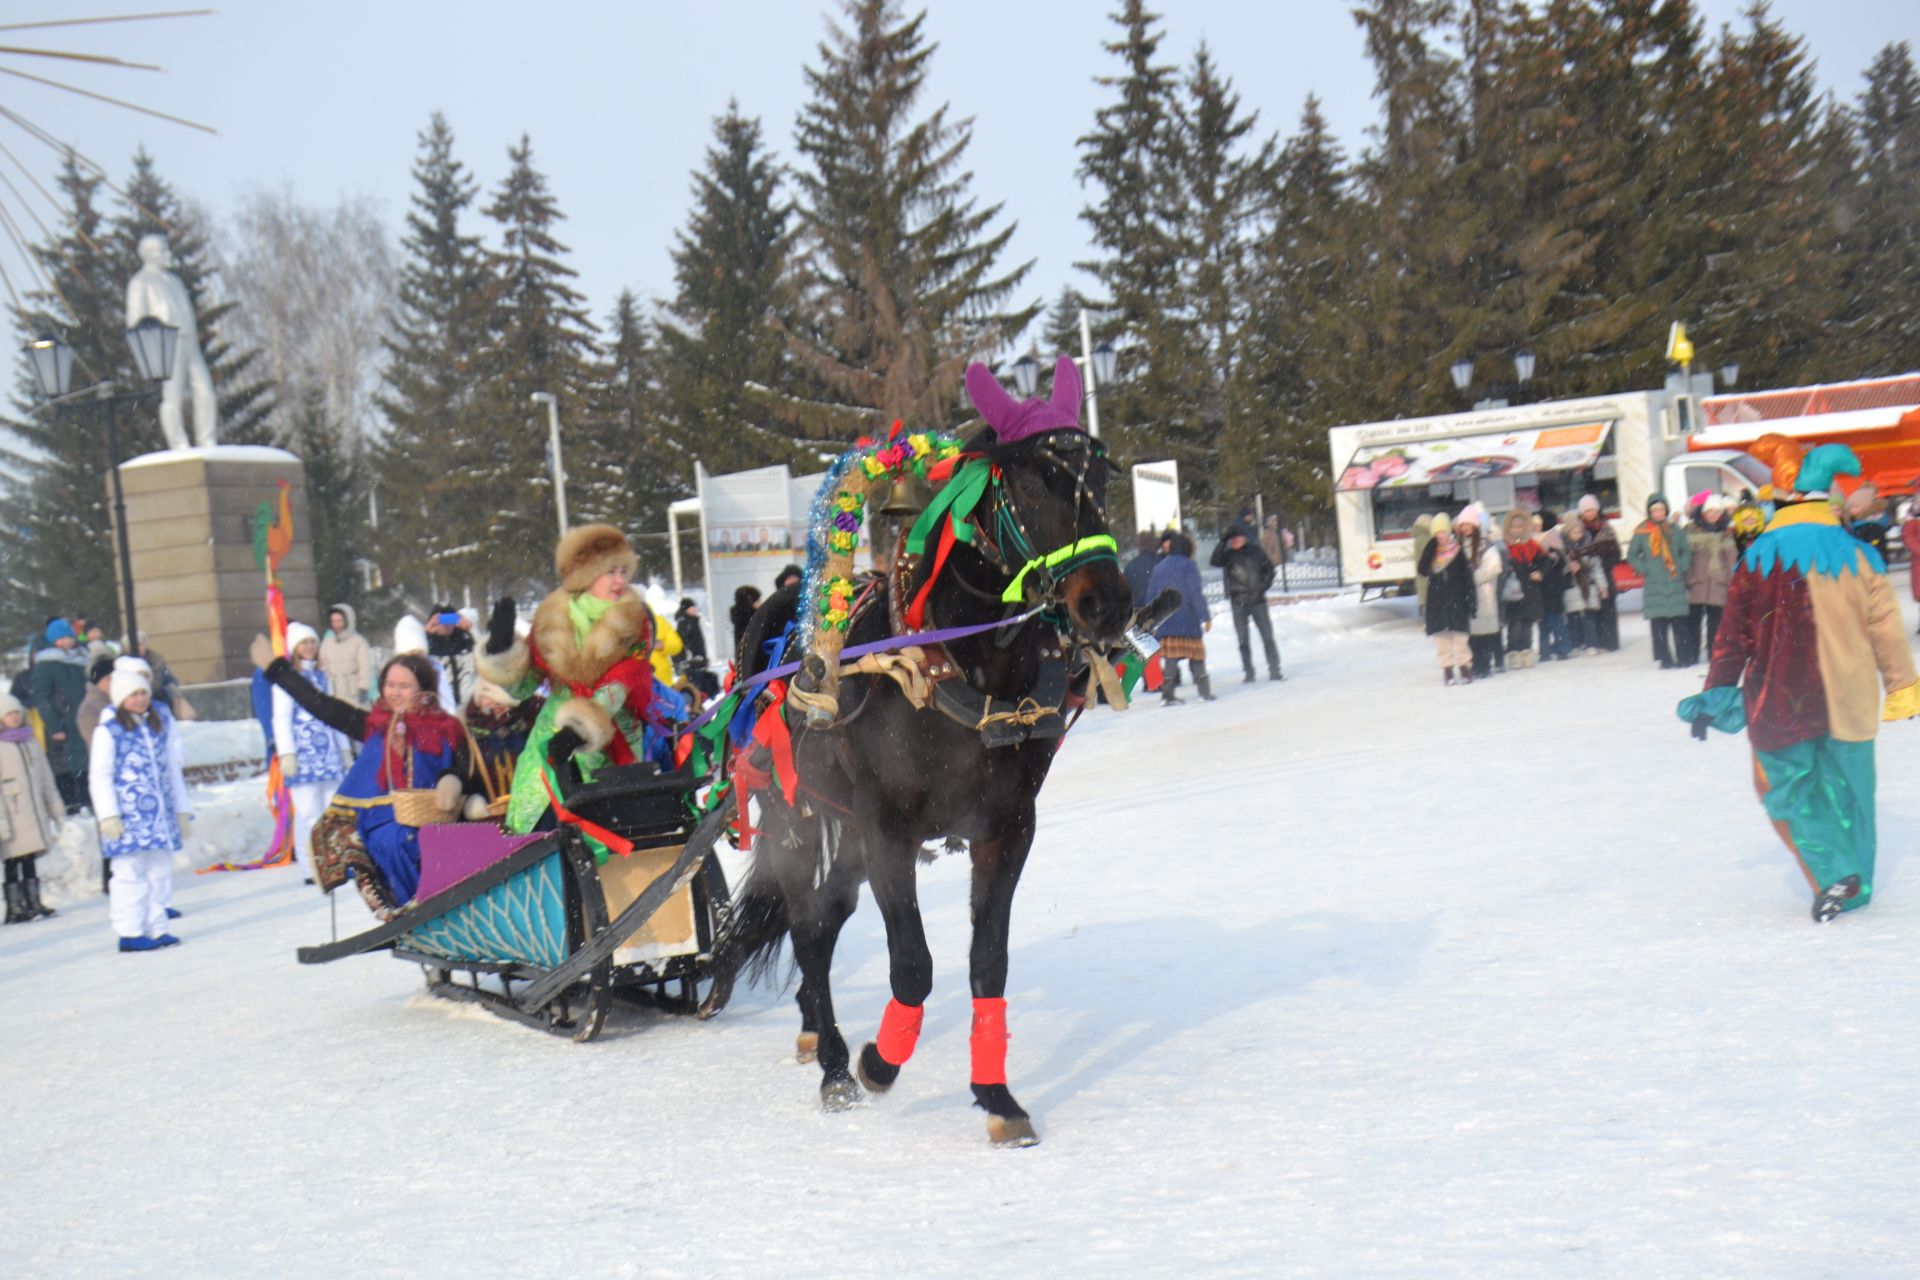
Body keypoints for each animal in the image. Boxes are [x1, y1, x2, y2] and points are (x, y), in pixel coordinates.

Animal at [710, 355, 1136, 1143]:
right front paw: (880, 1061)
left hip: (842, 834)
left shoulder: (1007, 829)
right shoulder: (889, 829)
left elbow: (986, 963)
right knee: (808, 929)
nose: (1108, 604)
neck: (959, 666)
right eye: (1035, 480)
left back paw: (815, 1027)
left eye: (1102, 475)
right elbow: (913, 965)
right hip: (795, 820)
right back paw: (836, 1063)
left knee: (823, 923)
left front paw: (997, 1097)